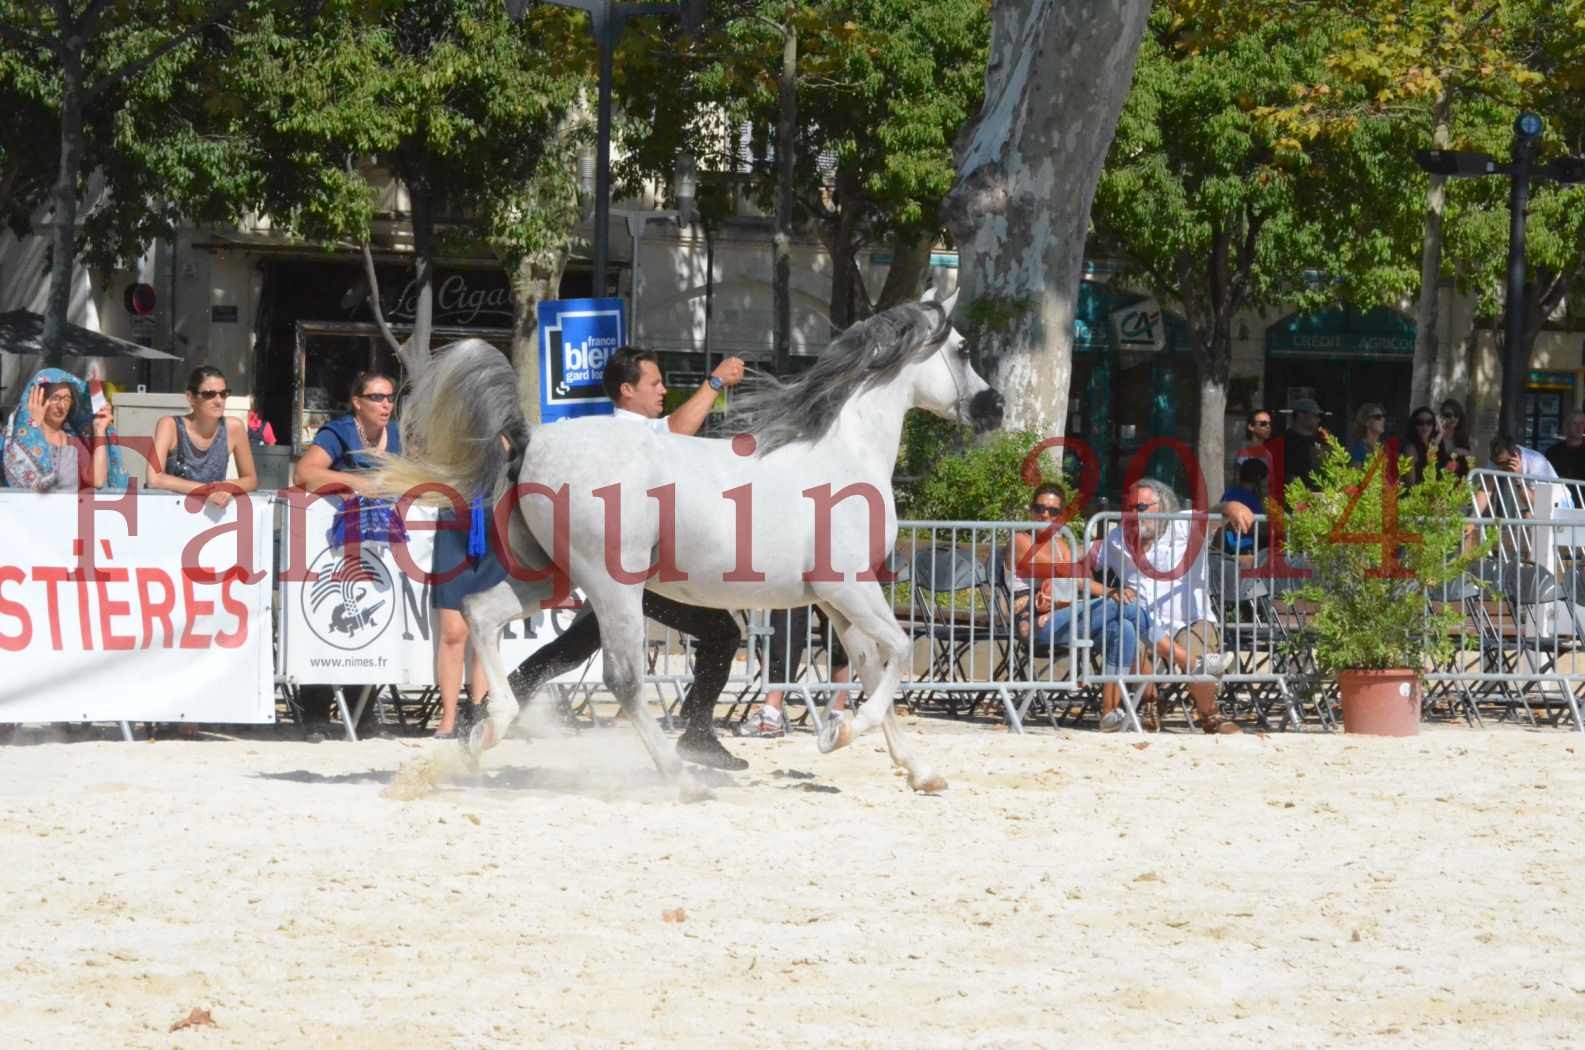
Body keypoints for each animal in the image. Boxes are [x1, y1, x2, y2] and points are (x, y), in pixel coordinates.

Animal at [374, 291, 1001, 793]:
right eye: (964, 348)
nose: (993, 408)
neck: (842, 455)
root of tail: (528, 441)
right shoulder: (847, 588)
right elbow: (899, 653)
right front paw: (838, 733)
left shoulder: (837, 602)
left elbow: (874, 668)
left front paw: (918, 771)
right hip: (611, 587)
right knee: (623, 679)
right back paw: (681, 778)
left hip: (550, 577)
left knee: (481, 613)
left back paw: (486, 732)